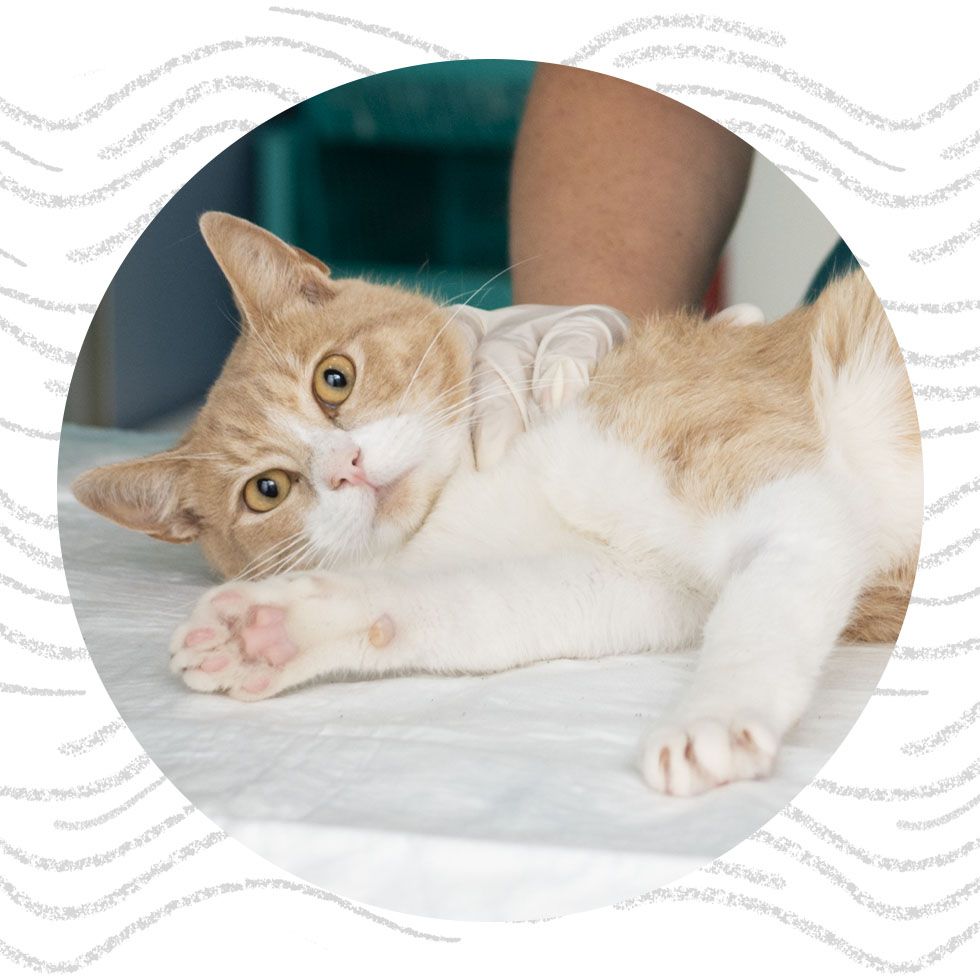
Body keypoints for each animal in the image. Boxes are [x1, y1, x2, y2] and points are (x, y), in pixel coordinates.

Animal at [74, 212, 920, 796]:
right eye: (267, 490)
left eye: (333, 379)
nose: (347, 469)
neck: (475, 493)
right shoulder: (639, 586)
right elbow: (468, 607)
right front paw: (273, 629)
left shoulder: (787, 491)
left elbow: (759, 614)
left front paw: (710, 717)